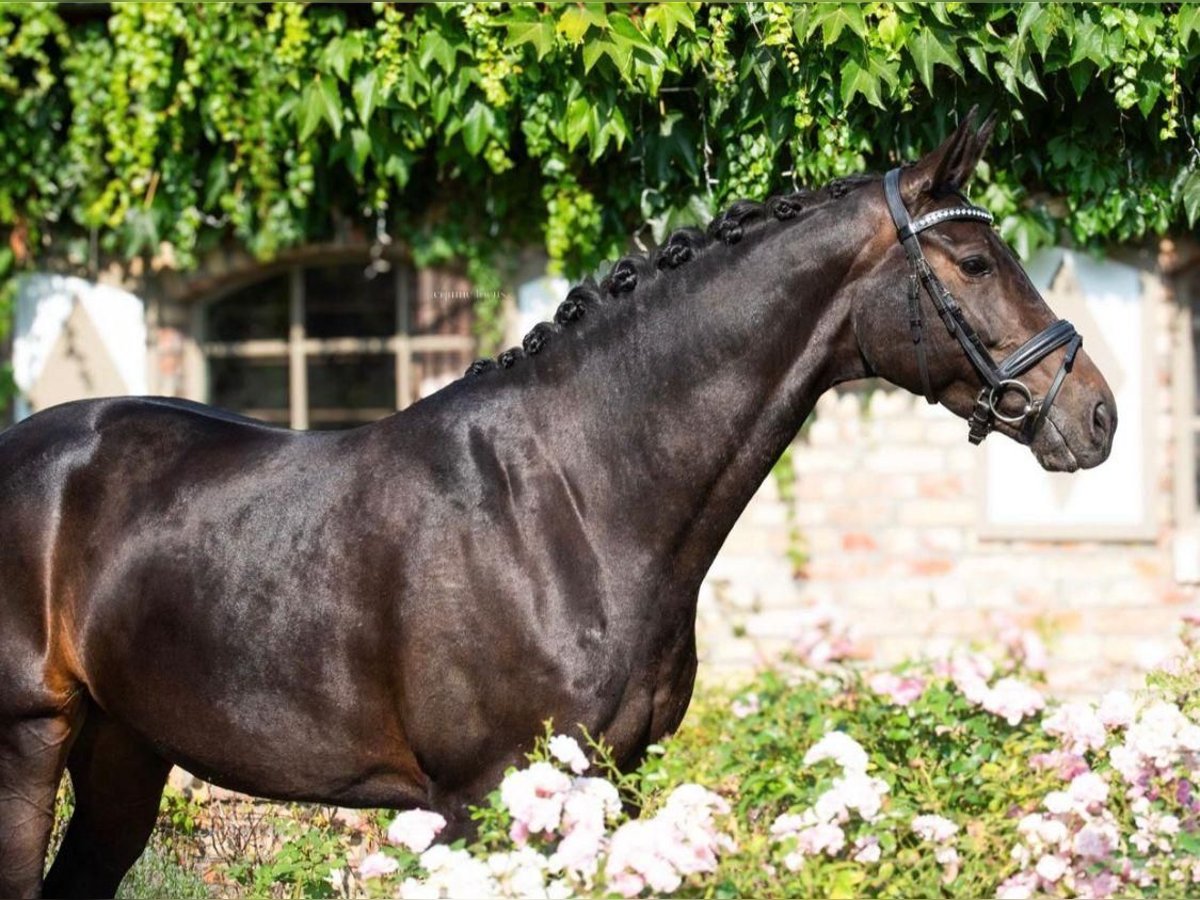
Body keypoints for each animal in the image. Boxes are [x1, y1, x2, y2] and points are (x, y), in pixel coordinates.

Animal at [0, 110, 1115, 898]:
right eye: (974, 261)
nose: (1095, 414)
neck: (575, 504)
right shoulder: (481, 801)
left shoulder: (614, 786)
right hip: (28, 744)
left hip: (123, 750)